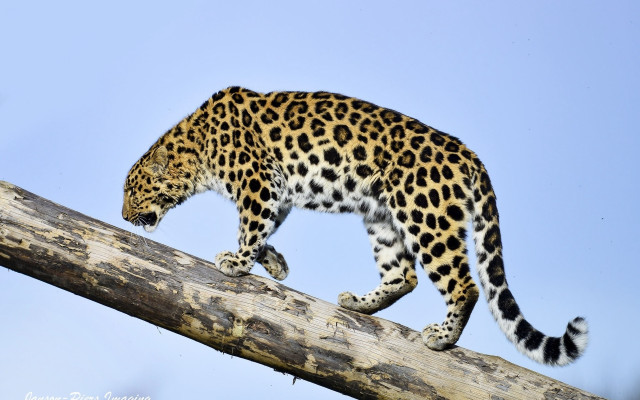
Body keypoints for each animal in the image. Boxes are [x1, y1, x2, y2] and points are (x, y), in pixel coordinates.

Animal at [122, 86, 588, 365]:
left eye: (132, 190)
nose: (124, 216)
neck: (196, 149)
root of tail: (468, 154)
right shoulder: (277, 190)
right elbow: (266, 227)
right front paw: (274, 264)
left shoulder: (258, 181)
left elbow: (251, 225)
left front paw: (236, 263)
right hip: (383, 216)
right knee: (403, 276)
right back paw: (358, 304)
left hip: (425, 215)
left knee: (464, 284)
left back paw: (442, 336)